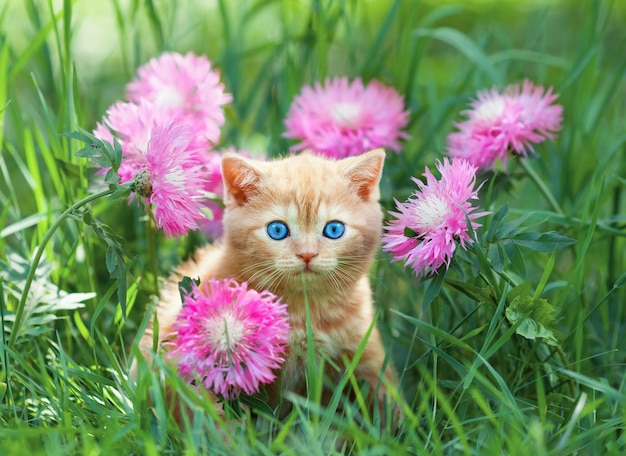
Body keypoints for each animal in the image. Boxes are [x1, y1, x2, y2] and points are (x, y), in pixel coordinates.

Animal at [136, 150, 398, 424]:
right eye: (277, 229)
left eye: (334, 229)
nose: (307, 254)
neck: (303, 309)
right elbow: (212, 415)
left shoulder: (364, 349)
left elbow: (386, 398)